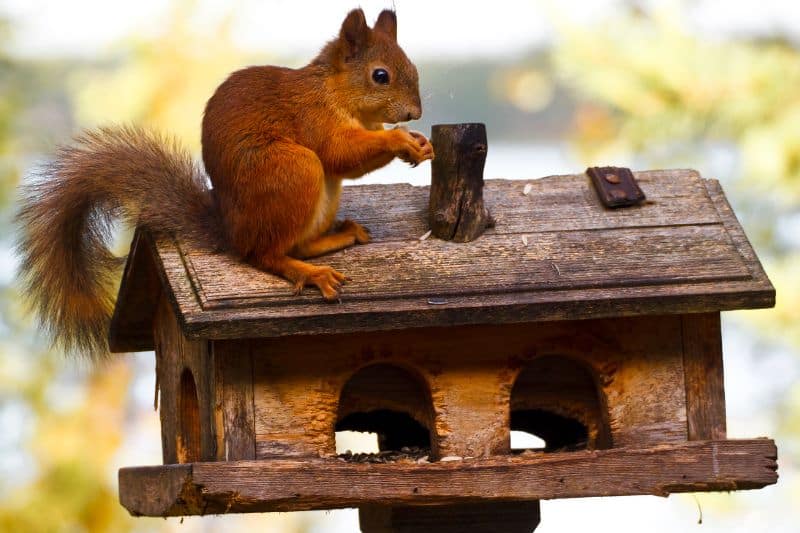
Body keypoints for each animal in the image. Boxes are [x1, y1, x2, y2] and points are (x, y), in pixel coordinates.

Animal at [15, 8, 434, 356]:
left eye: (413, 66)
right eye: (380, 76)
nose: (415, 113)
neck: (335, 92)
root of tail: (230, 232)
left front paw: (421, 145)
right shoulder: (315, 118)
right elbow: (340, 154)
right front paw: (399, 140)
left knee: (298, 244)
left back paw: (340, 236)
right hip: (295, 169)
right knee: (265, 254)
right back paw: (309, 273)